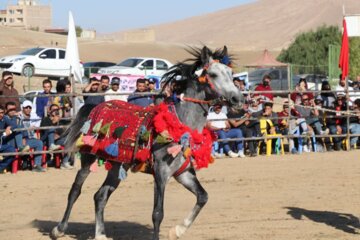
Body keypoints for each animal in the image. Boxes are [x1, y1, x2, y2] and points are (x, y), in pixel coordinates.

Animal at [51, 46, 242, 239]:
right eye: (213, 74)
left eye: (230, 73)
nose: (238, 99)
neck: (178, 124)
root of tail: (95, 107)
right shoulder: (161, 173)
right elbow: (158, 213)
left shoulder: (183, 173)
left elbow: (203, 197)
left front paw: (177, 231)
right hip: (88, 159)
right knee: (75, 190)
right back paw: (59, 229)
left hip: (117, 166)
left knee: (100, 196)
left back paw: (100, 234)